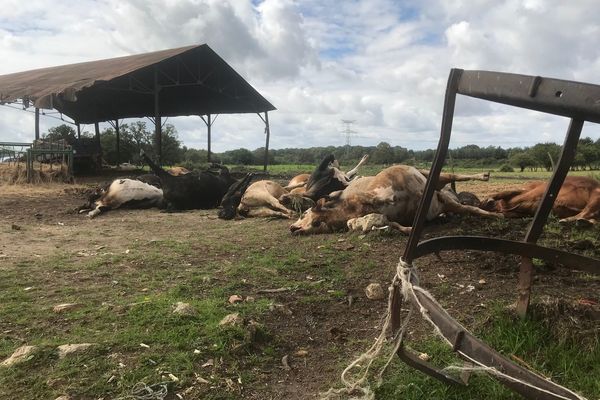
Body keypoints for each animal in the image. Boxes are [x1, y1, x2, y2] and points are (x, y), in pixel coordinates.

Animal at [288, 165, 500, 234]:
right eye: (316, 224)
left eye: (304, 214)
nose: (292, 228)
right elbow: (392, 223)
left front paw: (497, 216)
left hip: (434, 176)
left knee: (454, 176)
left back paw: (484, 175)